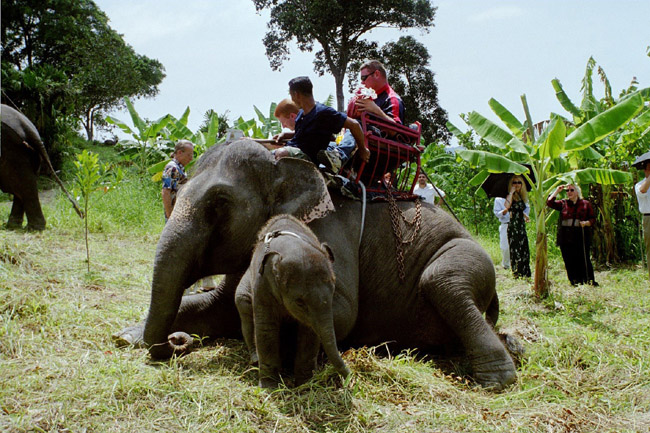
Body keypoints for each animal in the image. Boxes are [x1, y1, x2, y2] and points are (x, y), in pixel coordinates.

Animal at [235, 213, 350, 388]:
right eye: (299, 302)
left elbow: (309, 332)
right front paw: (269, 387)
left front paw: (305, 384)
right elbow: (266, 328)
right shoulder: (263, 286)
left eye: (332, 292)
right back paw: (255, 360)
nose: (350, 377)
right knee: (243, 305)